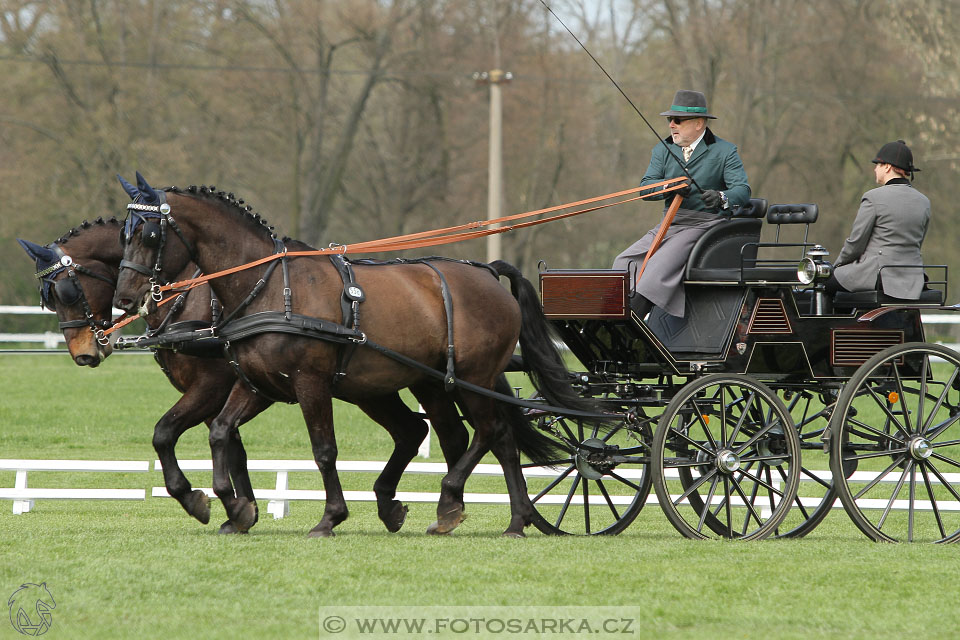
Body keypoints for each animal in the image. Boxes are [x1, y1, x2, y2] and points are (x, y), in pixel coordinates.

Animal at [112, 174, 592, 536]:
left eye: (149, 234)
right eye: (123, 234)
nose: (125, 299)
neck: (270, 287)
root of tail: (488, 272)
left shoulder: (308, 382)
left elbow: (323, 449)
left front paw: (330, 517)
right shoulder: (255, 383)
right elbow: (217, 435)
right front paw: (226, 505)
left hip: (471, 378)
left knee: (488, 432)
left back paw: (458, 499)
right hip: (430, 383)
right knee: (475, 437)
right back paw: (490, 515)